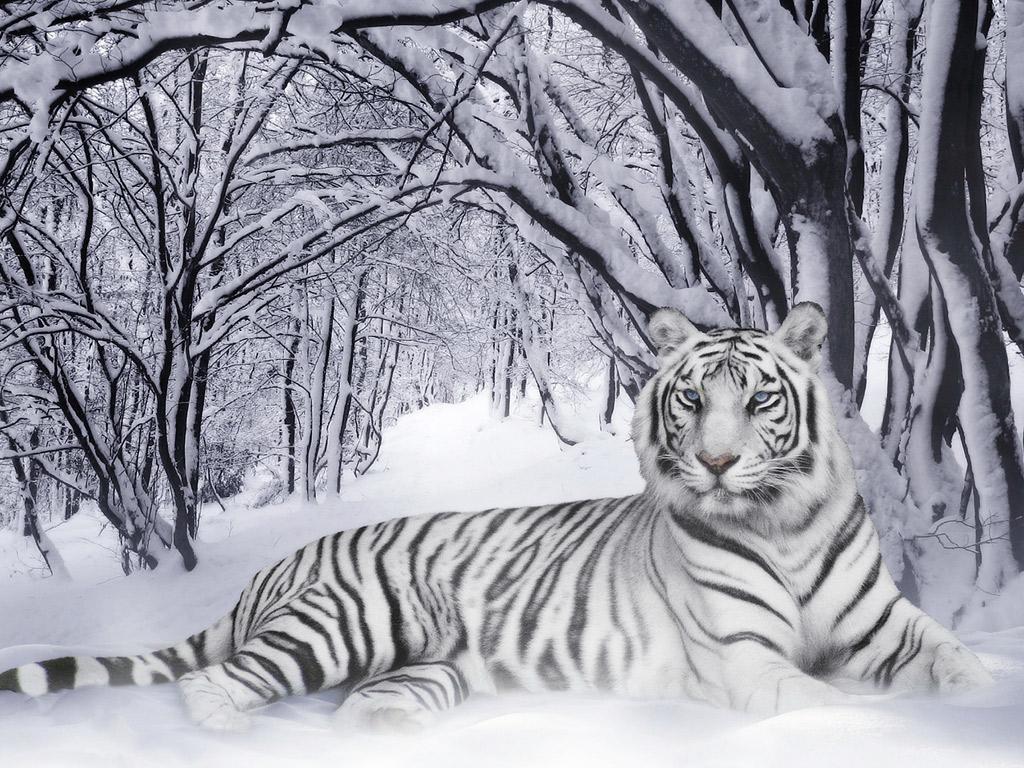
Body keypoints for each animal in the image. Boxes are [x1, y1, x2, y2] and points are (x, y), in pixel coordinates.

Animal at [0, 302, 993, 730]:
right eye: (691, 401)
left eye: (758, 402)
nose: (715, 462)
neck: (782, 523)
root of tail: (272, 571)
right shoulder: (747, 658)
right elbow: (825, 698)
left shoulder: (885, 625)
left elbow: (956, 659)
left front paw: (980, 697)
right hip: (342, 623)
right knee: (214, 685)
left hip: (424, 670)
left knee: (358, 705)